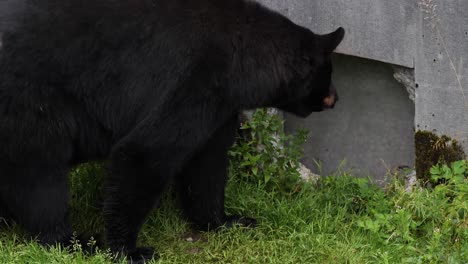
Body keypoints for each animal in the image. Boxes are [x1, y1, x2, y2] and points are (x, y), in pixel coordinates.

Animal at [0, 0, 344, 260]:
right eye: (327, 73)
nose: (335, 98)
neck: (241, 61)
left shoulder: (218, 105)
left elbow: (208, 164)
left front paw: (228, 221)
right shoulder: (193, 81)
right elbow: (145, 153)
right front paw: (128, 250)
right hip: (32, 105)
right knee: (41, 180)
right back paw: (76, 242)